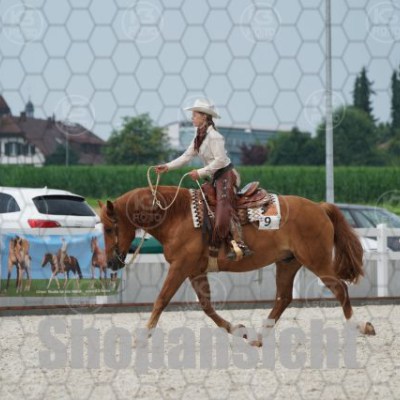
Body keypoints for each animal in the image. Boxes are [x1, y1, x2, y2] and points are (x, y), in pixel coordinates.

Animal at [98, 186, 376, 347]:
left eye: (110, 228)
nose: (111, 262)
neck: (178, 215)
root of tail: (319, 207)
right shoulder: (195, 271)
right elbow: (207, 307)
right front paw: (239, 330)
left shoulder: (180, 267)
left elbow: (161, 299)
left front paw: (142, 335)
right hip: (287, 263)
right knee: (283, 298)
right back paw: (258, 336)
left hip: (317, 260)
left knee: (339, 289)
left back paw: (360, 326)